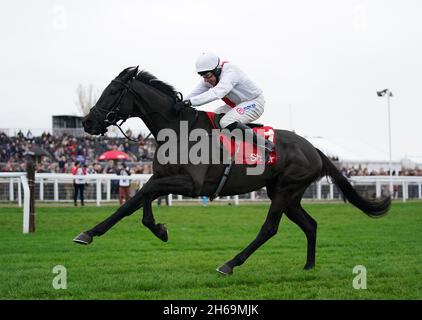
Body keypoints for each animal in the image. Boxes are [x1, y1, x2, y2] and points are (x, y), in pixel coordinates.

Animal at [73, 65, 392, 276]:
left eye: (113, 91)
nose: (88, 122)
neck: (177, 129)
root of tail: (314, 149)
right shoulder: (164, 177)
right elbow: (137, 200)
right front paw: (99, 232)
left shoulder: (192, 184)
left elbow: (146, 193)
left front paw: (151, 228)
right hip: (287, 193)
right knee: (310, 224)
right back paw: (309, 265)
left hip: (286, 189)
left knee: (269, 228)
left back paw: (229, 264)